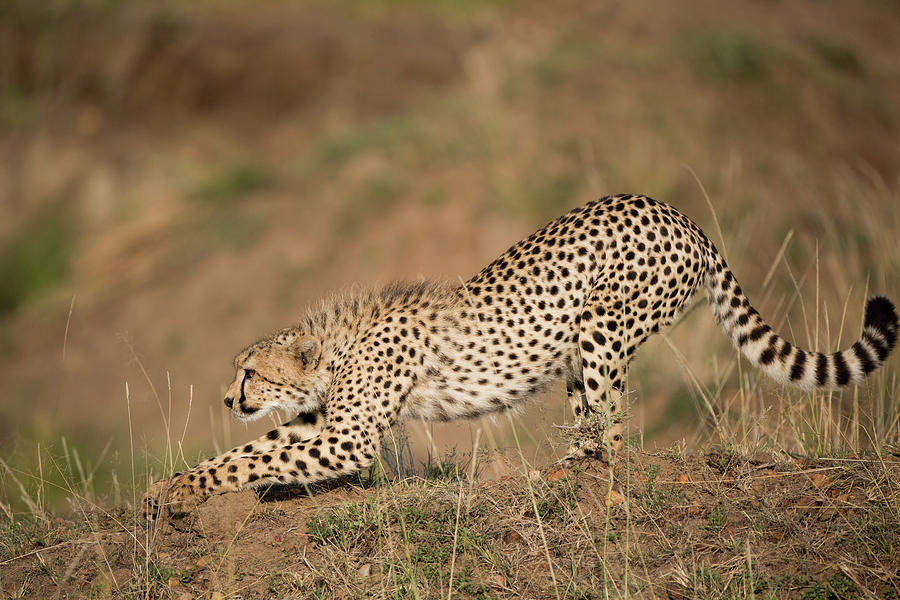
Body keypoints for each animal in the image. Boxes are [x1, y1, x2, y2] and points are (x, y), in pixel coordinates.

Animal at [141, 195, 892, 516]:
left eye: (249, 372)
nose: (227, 397)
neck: (334, 349)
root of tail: (678, 214)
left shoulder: (348, 436)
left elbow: (249, 456)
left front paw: (179, 491)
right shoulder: (323, 426)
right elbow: (255, 451)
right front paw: (179, 486)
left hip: (601, 323)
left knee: (612, 424)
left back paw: (584, 478)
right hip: (576, 352)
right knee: (590, 415)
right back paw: (559, 469)